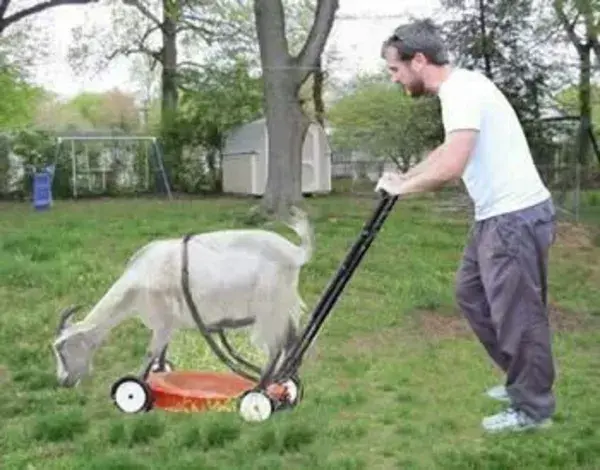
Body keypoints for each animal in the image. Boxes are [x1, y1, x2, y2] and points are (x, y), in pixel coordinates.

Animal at [51, 207, 314, 388]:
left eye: (62, 350)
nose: (63, 381)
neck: (136, 285)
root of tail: (296, 253)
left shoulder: (163, 321)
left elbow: (150, 353)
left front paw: (133, 387)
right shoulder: (169, 324)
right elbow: (161, 353)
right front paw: (161, 372)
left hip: (271, 308)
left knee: (276, 347)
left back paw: (260, 387)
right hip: (284, 309)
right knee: (292, 342)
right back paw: (283, 380)